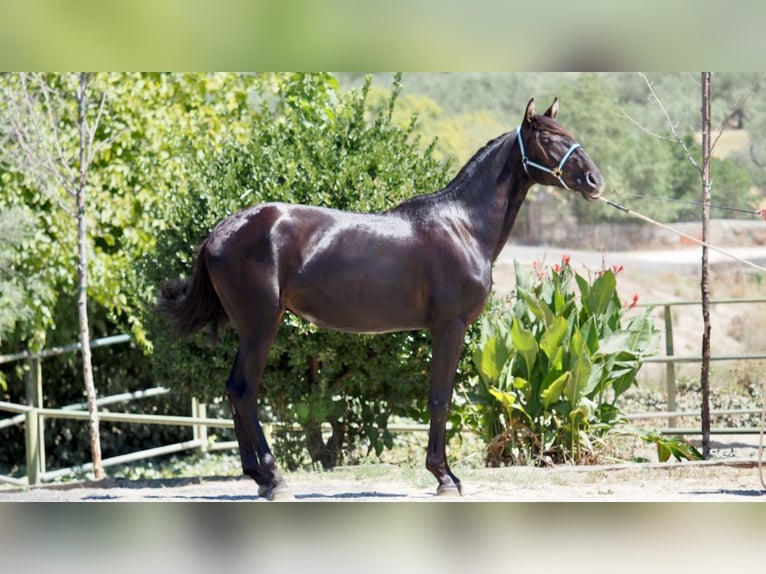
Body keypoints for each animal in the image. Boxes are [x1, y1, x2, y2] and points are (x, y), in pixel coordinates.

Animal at [160, 99, 608, 500]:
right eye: (548, 138)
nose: (594, 181)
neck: (463, 225)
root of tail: (221, 231)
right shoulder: (449, 328)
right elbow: (439, 398)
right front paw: (445, 478)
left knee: (235, 391)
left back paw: (258, 476)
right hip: (261, 325)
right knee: (244, 391)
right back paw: (274, 479)